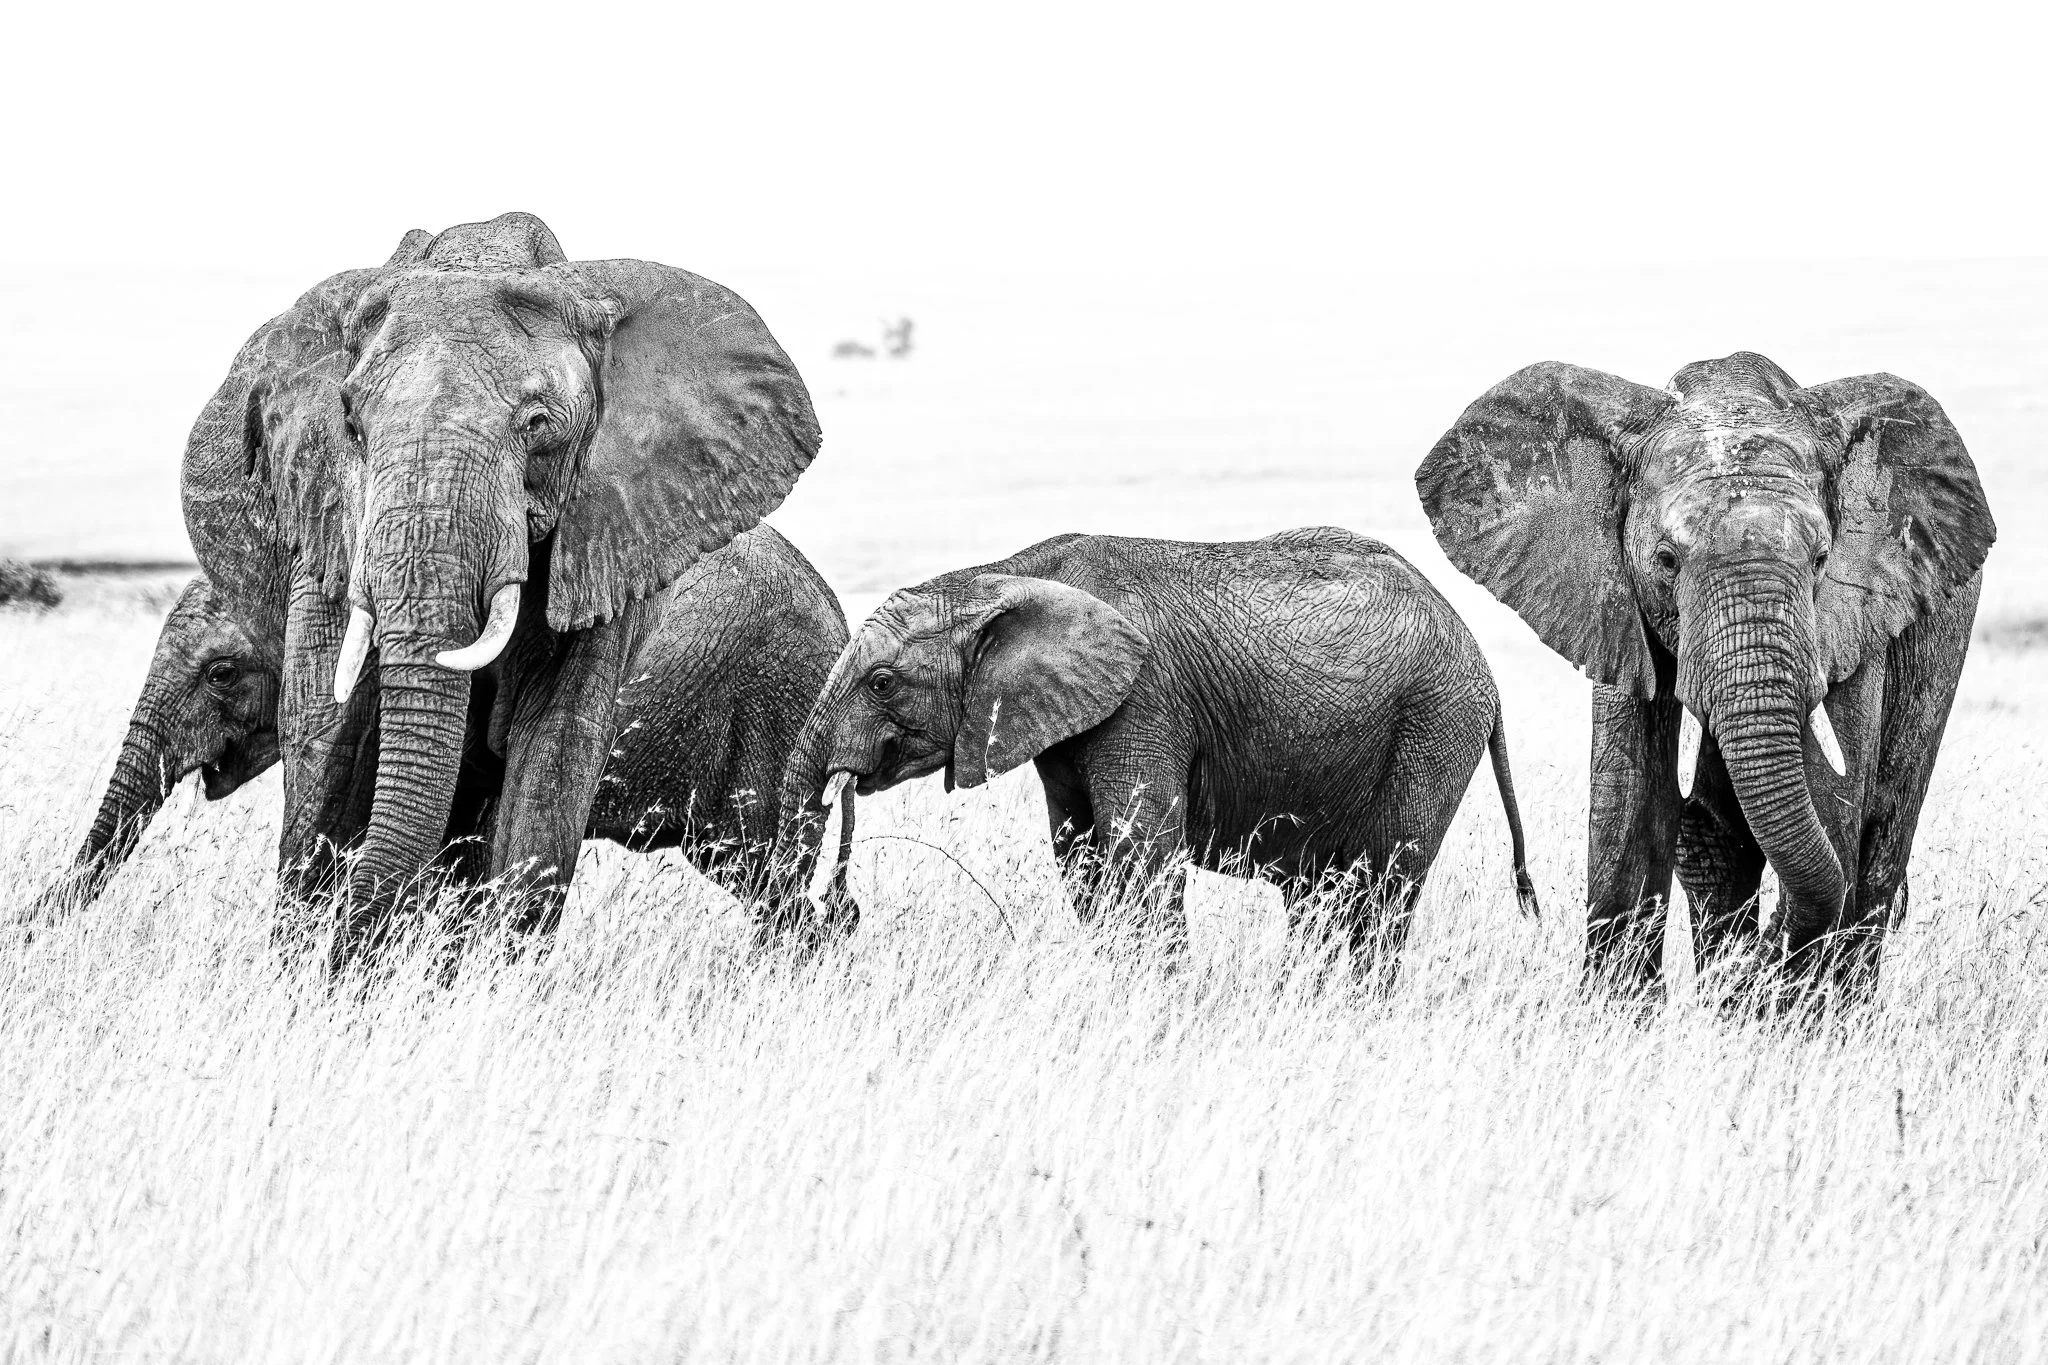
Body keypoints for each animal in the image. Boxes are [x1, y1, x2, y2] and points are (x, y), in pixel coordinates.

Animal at [180, 211, 828, 968]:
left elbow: (555, 746)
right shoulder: (326, 513)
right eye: (352, 425)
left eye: (539, 425)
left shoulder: (609, 529)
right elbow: (325, 731)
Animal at [780, 527, 1539, 972]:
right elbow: (1081, 857)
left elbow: (1140, 854)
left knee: (1380, 887)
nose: (837, 911)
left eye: (881, 682)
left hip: (1434, 724)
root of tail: (1481, 661)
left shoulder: (1144, 700)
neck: (1004, 574)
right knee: (1324, 895)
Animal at [1416, 351, 1995, 1000]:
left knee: (1882, 837)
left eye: (1822, 560)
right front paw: (1624, 1013)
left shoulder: (1855, 612)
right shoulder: (1614, 602)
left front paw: (1777, 1010)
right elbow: (1630, 794)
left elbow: (1836, 804)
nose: (1746, 970)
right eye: (1667, 561)